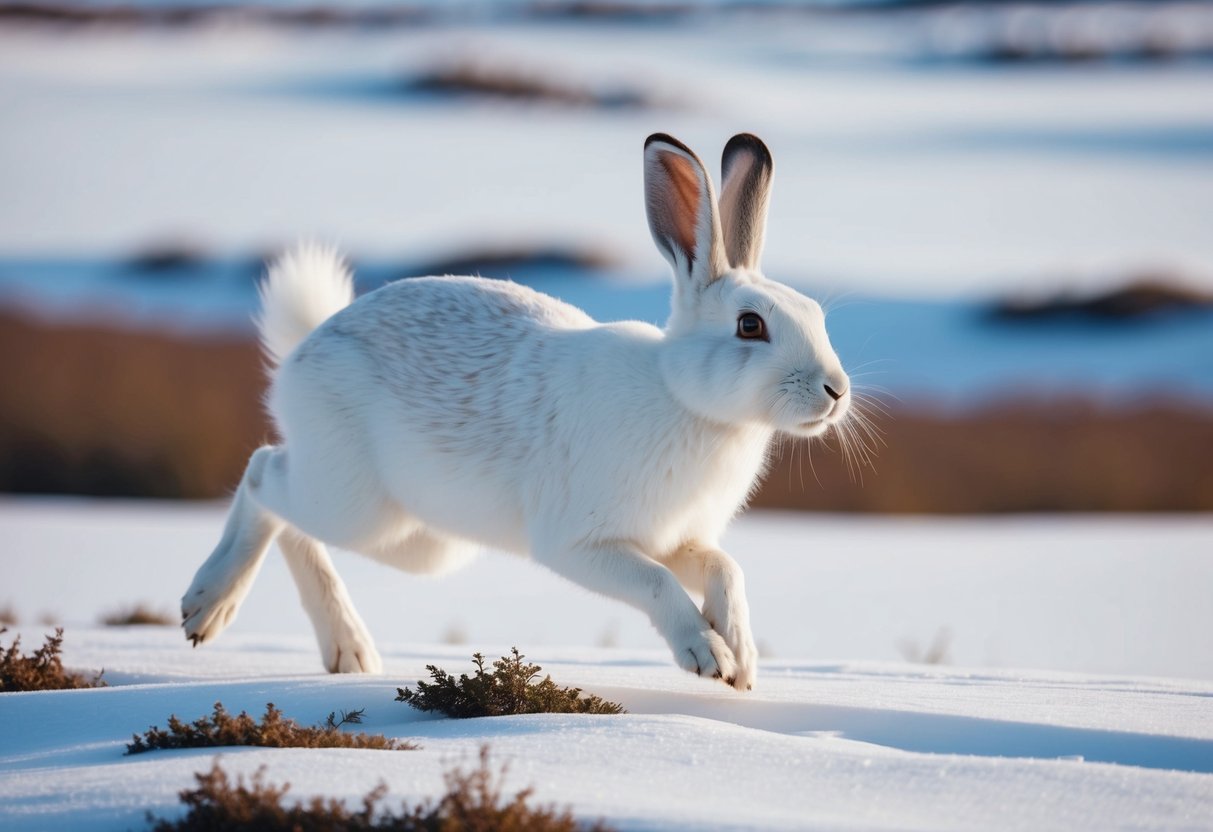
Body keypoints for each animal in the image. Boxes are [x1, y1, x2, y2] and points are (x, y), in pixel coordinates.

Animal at [182, 132, 853, 691]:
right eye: (750, 325)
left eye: (815, 315)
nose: (836, 391)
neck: (687, 399)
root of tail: (305, 349)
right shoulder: (580, 543)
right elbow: (656, 583)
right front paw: (706, 656)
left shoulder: (675, 538)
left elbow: (725, 568)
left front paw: (742, 661)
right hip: (355, 503)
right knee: (264, 475)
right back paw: (208, 607)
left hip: (420, 541)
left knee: (289, 511)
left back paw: (345, 652)